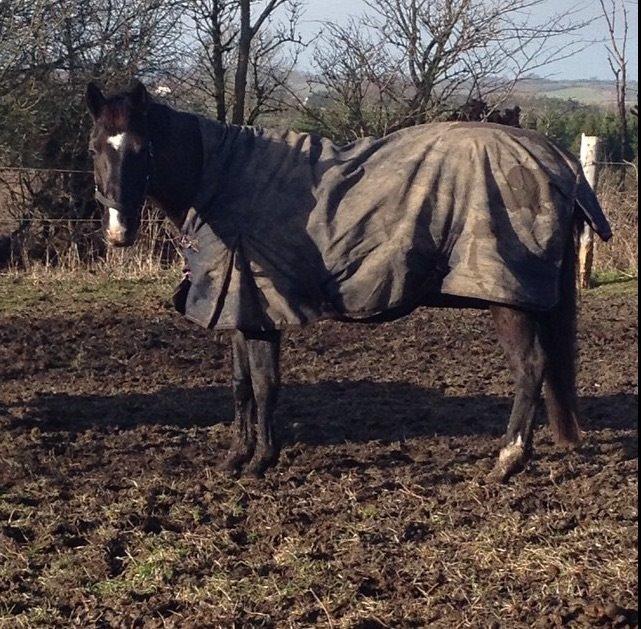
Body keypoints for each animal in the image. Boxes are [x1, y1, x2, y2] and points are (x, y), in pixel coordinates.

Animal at [85, 78, 608, 480]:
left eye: (140, 148)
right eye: (94, 148)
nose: (117, 232)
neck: (224, 181)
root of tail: (558, 160)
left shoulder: (260, 309)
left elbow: (265, 382)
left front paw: (261, 461)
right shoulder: (239, 307)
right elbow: (241, 384)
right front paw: (236, 457)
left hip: (509, 298)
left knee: (530, 368)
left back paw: (506, 460)